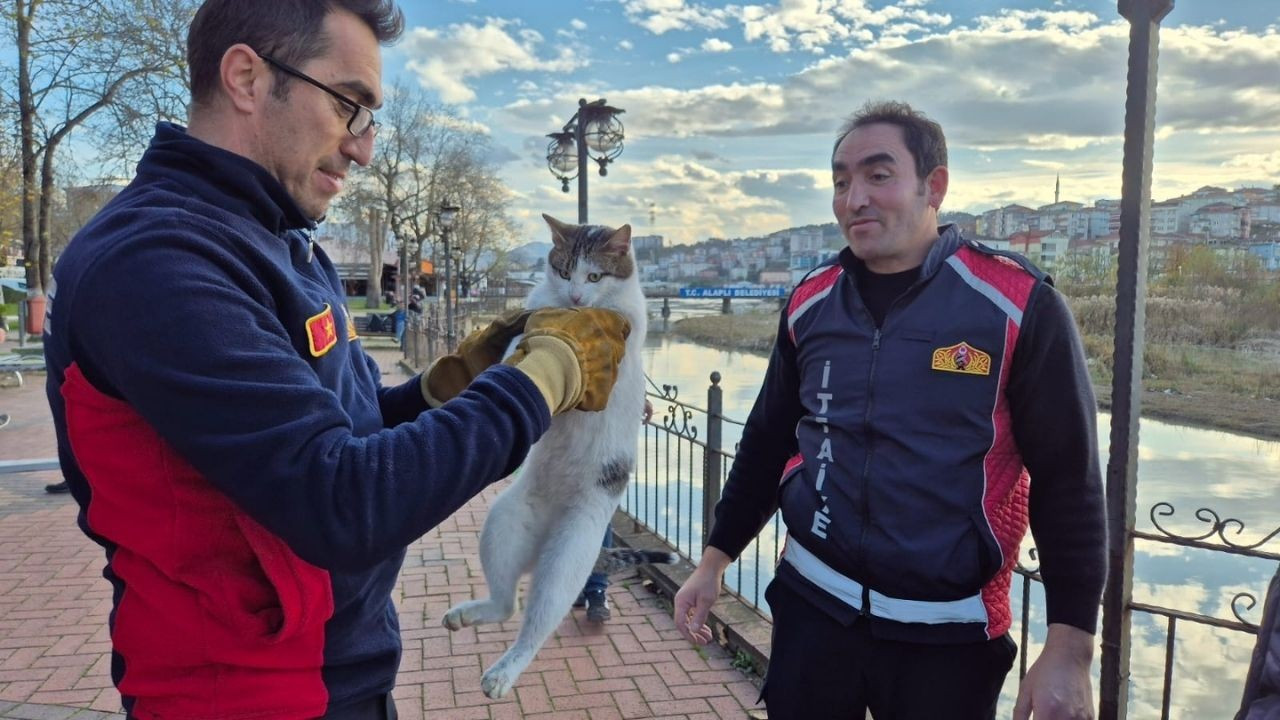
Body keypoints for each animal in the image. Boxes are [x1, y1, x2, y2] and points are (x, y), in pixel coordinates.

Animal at [445, 211, 675, 696]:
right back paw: (471, 614)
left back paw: (504, 672)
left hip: (567, 559)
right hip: (502, 526)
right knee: (507, 603)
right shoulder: (534, 312)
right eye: (566, 271)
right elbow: (519, 337)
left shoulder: (623, 329)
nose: (575, 297)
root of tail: (543, 542)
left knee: (535, 621)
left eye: (595, 276)